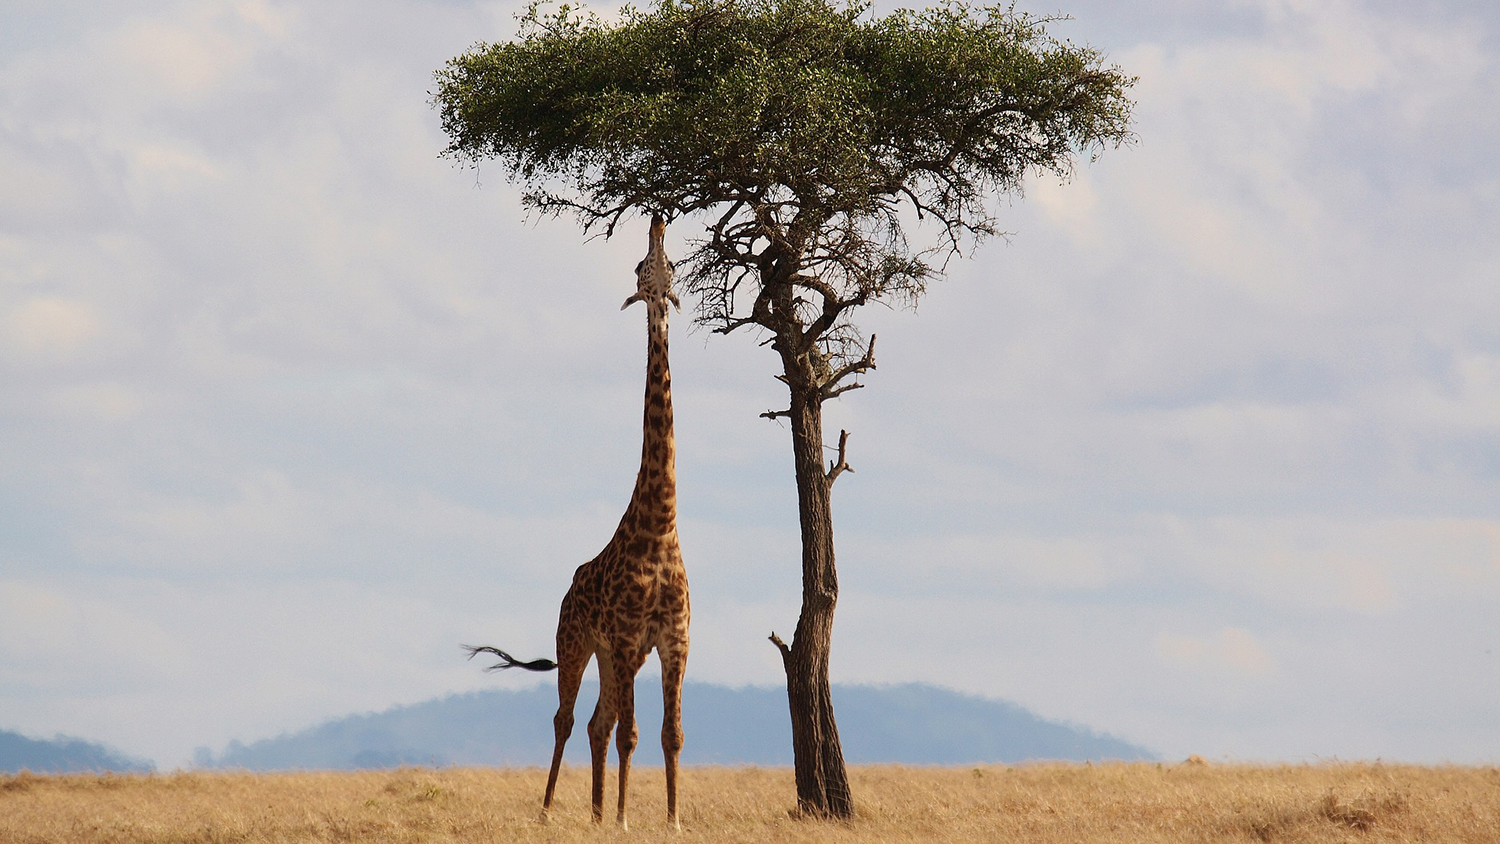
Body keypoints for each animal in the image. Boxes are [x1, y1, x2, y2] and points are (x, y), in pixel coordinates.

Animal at [462, 214, 690, 827]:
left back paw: (593, 814)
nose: (658, 220)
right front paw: (627, 820)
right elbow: (634, 734)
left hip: (608, 656)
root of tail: (567, 589)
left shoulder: (674, 642)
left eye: (670, 264)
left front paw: (671, 820)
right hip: (577, 642)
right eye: (641, 265)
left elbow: (671, 734)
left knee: (596, 723)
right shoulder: (631, 639)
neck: (660, 526)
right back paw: (549, 812)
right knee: (568, 720)